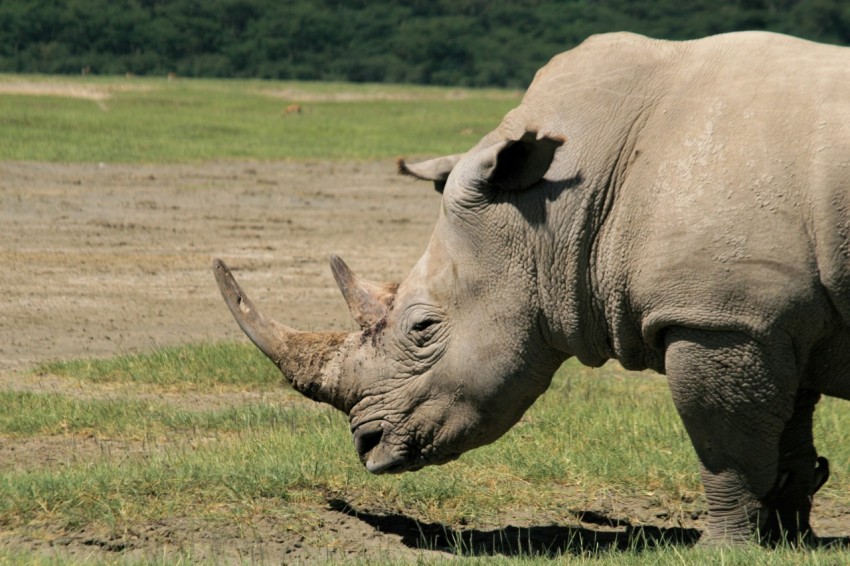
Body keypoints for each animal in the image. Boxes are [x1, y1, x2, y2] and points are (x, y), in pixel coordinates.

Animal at [214, 31, 850, 545]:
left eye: (422, 328)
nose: (366, 446)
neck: (557, 207)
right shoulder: (772, 318)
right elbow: (786, 433)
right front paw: (785, 539)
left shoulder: (721, 317)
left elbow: (725, 444)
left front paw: (720, 549)